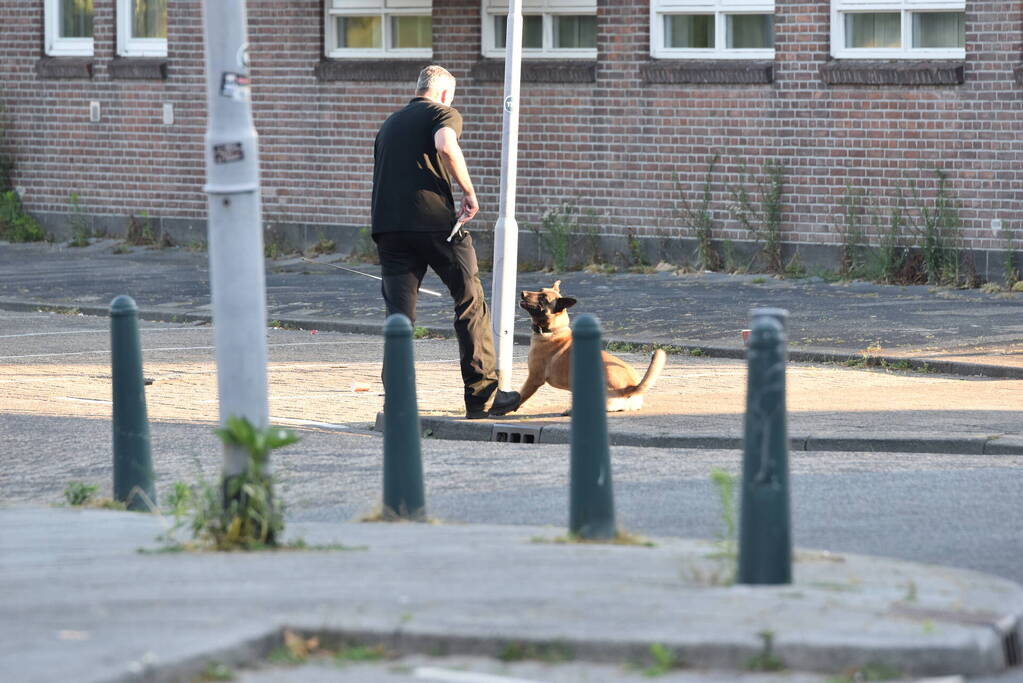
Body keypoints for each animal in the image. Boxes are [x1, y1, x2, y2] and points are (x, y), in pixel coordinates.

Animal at [511, 282, 671, 413]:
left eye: (543, 298)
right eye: (539, 290)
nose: (522, 293)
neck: (553, 330)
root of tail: (630, 387)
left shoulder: (534, 378)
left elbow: (521, 395)